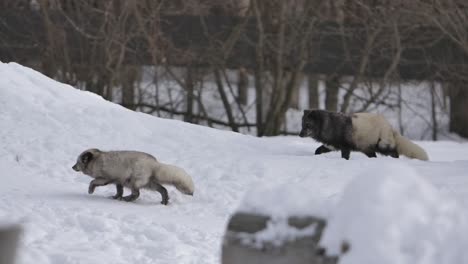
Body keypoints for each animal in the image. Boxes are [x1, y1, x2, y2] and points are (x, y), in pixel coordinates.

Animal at [300, 108, 428, 160]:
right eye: (302, 124)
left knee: (395, 152)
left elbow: (345, 157)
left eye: (308, 125)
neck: (331, 125)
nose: (300, 135)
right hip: (367, 149)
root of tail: (390, 127)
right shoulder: (330, 146)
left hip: (382, 146)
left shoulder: (345, 147)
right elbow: (317, 151)